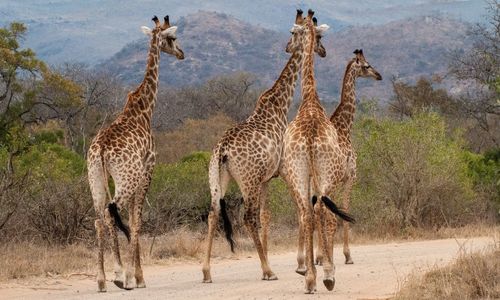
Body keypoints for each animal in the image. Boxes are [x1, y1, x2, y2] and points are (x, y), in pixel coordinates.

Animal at [87, 15, 185, 292]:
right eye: (173, 38)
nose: (182, 53)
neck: (144, 109)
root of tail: (101, 150)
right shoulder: (147, 168)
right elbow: (137, 221)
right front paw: (136, 277)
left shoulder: (133, 174)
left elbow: (130, 220)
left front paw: (134, 275)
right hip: (126, 179)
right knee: (110, 214)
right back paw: (120, 277)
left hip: (96, 180)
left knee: (100, 219)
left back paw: (102, 280)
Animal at [201, 8, 330, 282]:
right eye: (320, 37)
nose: (323, 51)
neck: (279, 105)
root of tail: (223, 150)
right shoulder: (281, 173)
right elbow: (287, 212)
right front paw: (300, 264)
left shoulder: (266, 179)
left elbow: (266, 215)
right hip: (247, 179)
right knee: (247, 216)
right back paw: (268, 271)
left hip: (218, 177)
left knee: (213, 213)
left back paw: (206, 271)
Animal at [282, 9, 356, 292]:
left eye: (292, 33)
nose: (286, 46)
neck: (310, 99)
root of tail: (311, 138)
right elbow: (325, 214)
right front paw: (325, 267)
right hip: (324, 176)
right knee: (320, 212)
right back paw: (326, 275)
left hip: (299, 174)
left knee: (308, 213)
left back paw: (312, 278)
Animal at [316, 48, 382, 266]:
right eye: (367, 65)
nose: (379, 75)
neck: (345, 128)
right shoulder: (349, 177)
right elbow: (344, 209)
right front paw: (347, 255)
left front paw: (326, 254)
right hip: (329, 180)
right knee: (325, 211)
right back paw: (325, 257)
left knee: (315, 209)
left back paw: (318, 256)